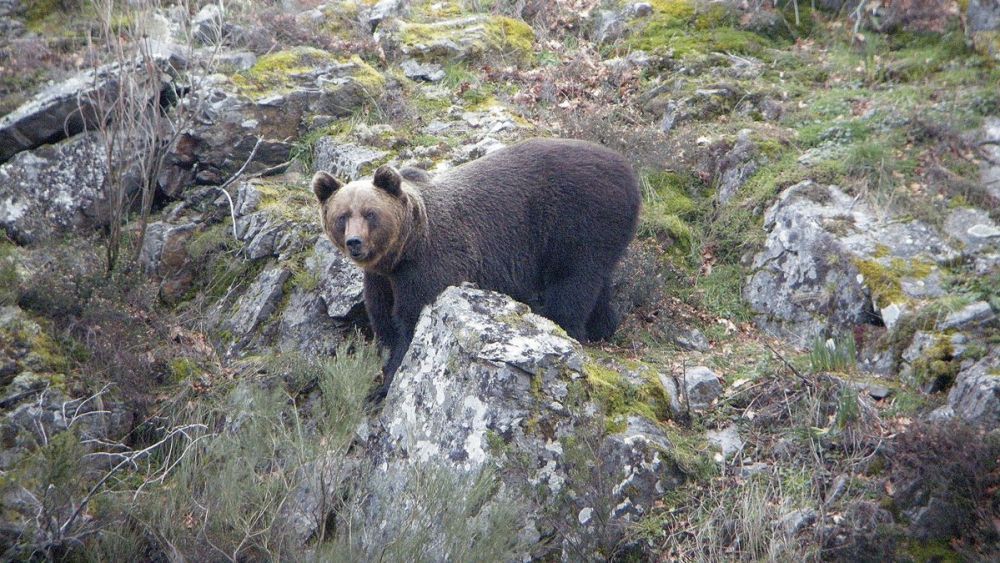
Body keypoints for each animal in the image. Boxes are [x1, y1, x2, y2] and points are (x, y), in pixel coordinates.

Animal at [313, 138, 641, 396]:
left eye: (370, 213)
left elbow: (411, 323)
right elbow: (383, 321)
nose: (354, 242)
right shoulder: (381, 278)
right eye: (342, 216)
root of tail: (628, 169)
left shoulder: (430, 266)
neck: (405, 249)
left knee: (572, 283)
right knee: (598, 283)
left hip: (578, 222)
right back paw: (603, 327)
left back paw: (567, 327)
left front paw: (388, 382)